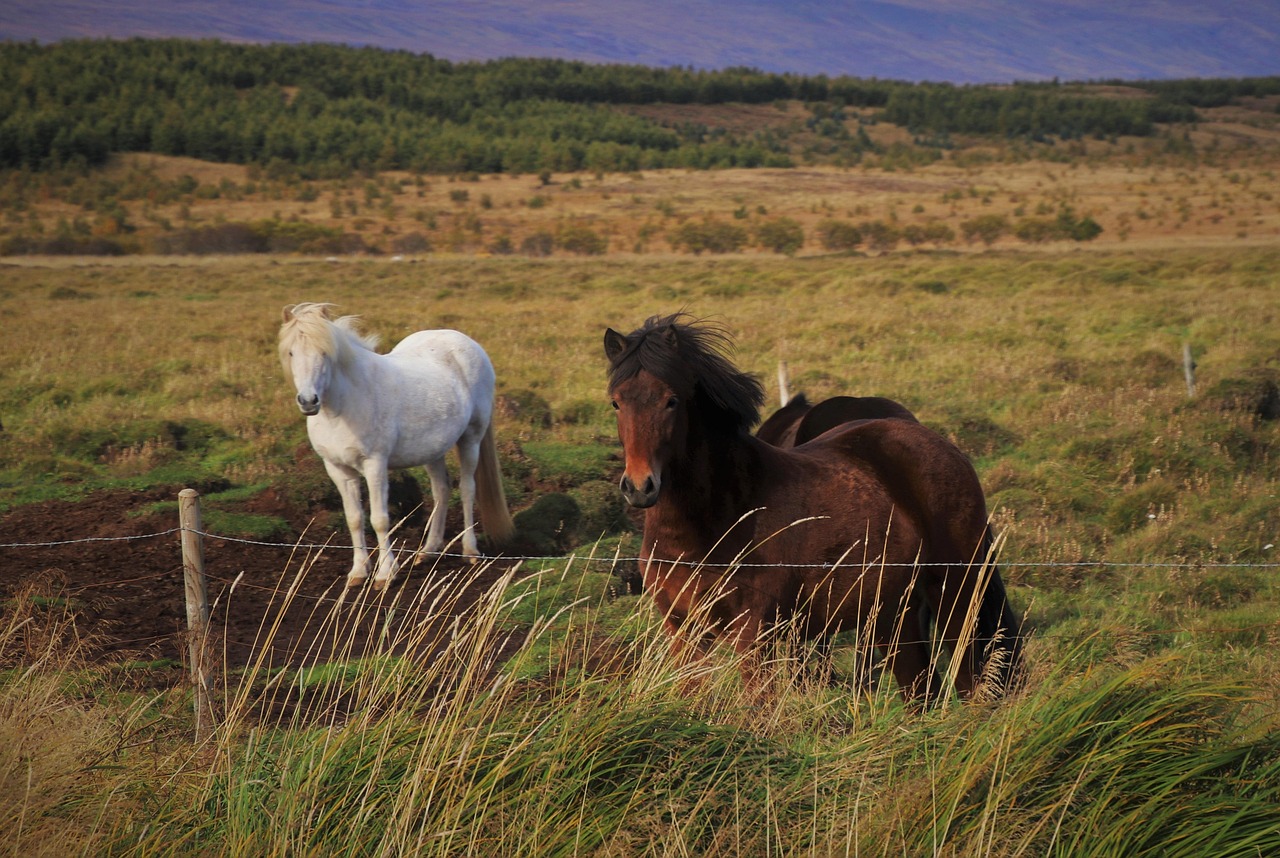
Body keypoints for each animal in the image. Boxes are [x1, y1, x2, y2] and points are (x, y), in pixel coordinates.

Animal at [279, 303, 514, 588]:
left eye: (325, 352)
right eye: (291, 352)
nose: (308, 401)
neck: (343, 407)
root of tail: (465, 341)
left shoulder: (375, 465)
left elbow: (379, 520)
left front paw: (385, 574)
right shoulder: (337, 469)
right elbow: (354, 519)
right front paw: (358, 572)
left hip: (471, 438)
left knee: (468, 488)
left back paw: (470, 551)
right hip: (432, 450)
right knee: (441, 489)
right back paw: (428, 551)